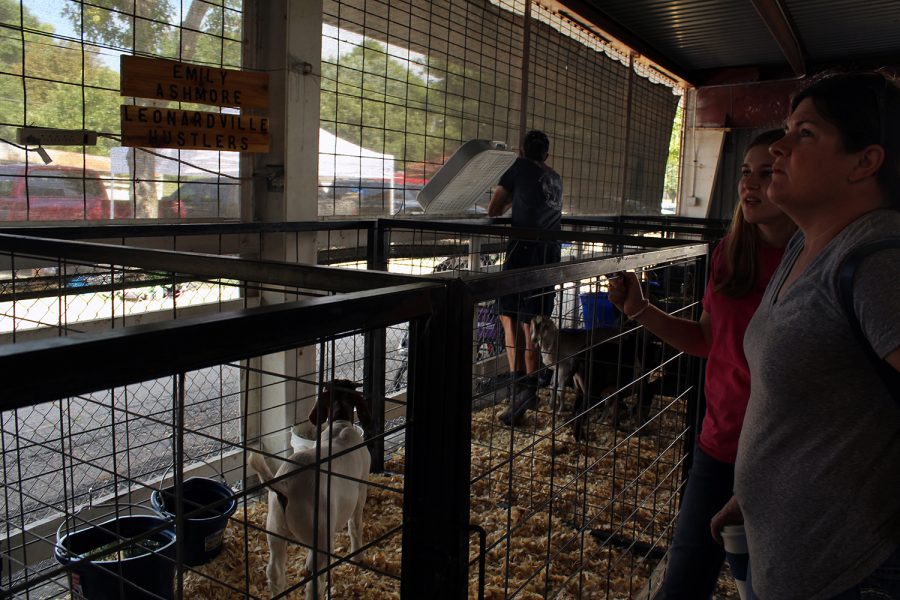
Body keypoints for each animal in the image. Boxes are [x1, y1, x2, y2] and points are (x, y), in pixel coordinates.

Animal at [248, 380, 370, 600]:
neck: (339, 425)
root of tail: (286, 487)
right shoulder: (361, 489)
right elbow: (355, 527)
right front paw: (358, 557)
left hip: (275, 530)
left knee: (275, 573)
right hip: (320, 536)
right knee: (313, 581)